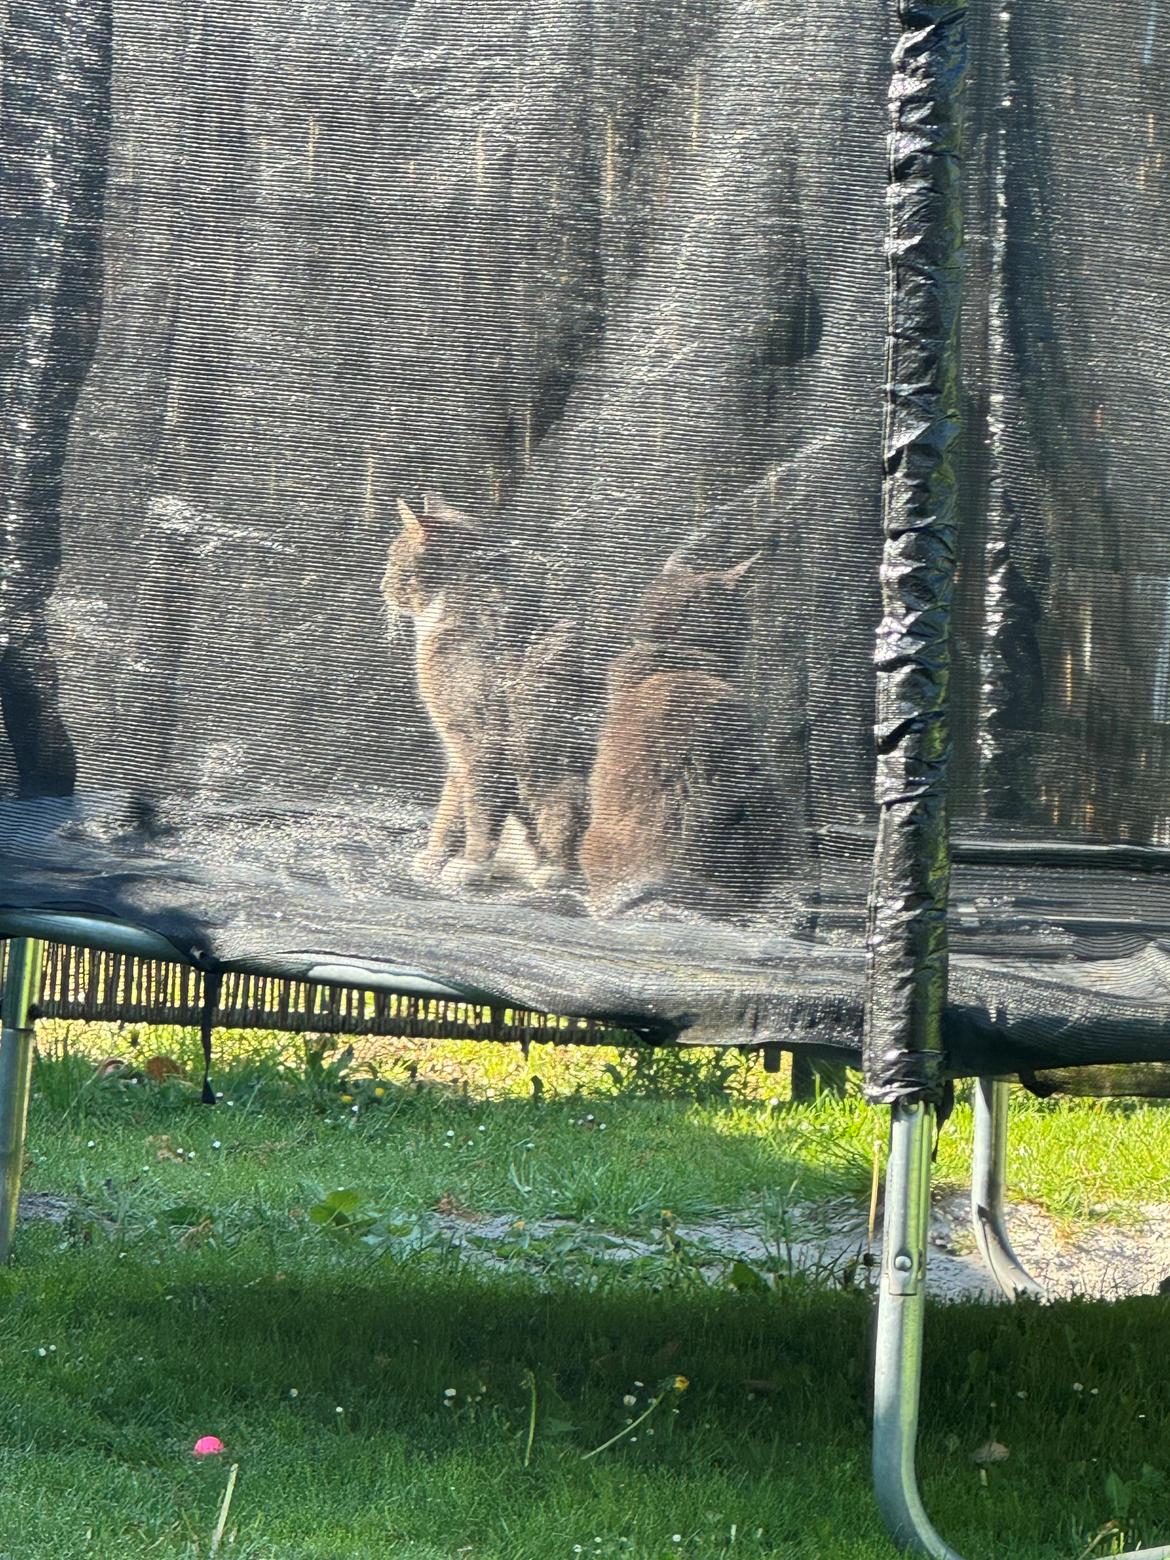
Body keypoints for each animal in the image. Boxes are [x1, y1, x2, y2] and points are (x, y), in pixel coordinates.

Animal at [380, 499, 589, 892]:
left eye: (394, 559)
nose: (381, 587)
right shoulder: (455, 744)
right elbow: (450, 808)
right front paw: (434, 858)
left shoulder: (481, 739)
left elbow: (479, 807)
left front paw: (472, 864)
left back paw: (552, 871)